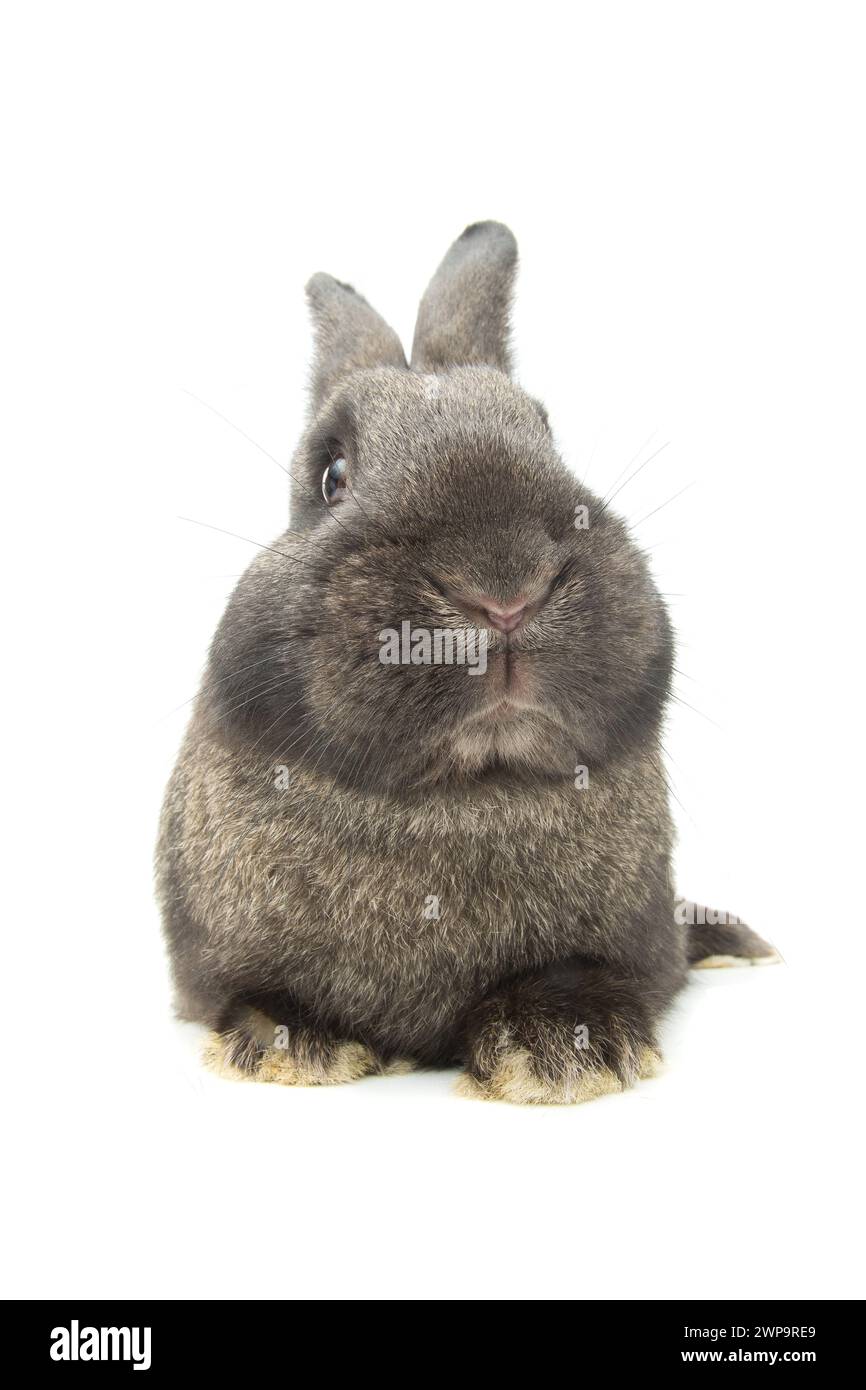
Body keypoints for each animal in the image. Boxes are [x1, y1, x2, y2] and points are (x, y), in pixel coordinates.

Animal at [156, 221, 777, 1104]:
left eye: (546, 432)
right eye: (331, 473)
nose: (504, 589)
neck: (463, 793)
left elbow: (575, 982)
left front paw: (565, 1051)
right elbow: (257, 998)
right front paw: (296, 1046)